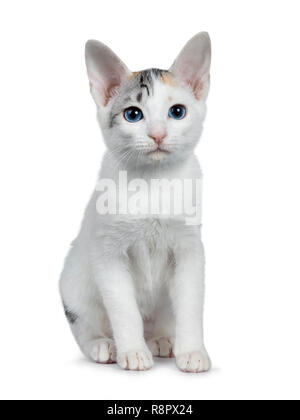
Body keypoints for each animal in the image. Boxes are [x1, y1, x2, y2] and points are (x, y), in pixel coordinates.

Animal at [59, 33, 212, 374]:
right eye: (133, 115)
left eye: (177, 112)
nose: (157, 135)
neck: (153, 182)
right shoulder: (109, 253)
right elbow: (123, 308)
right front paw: (132, 352)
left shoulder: (190, 249)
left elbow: (191, 305)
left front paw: (193, 351)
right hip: (73, 284)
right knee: (84, 326)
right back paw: (104, 345)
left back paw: (162, 339)